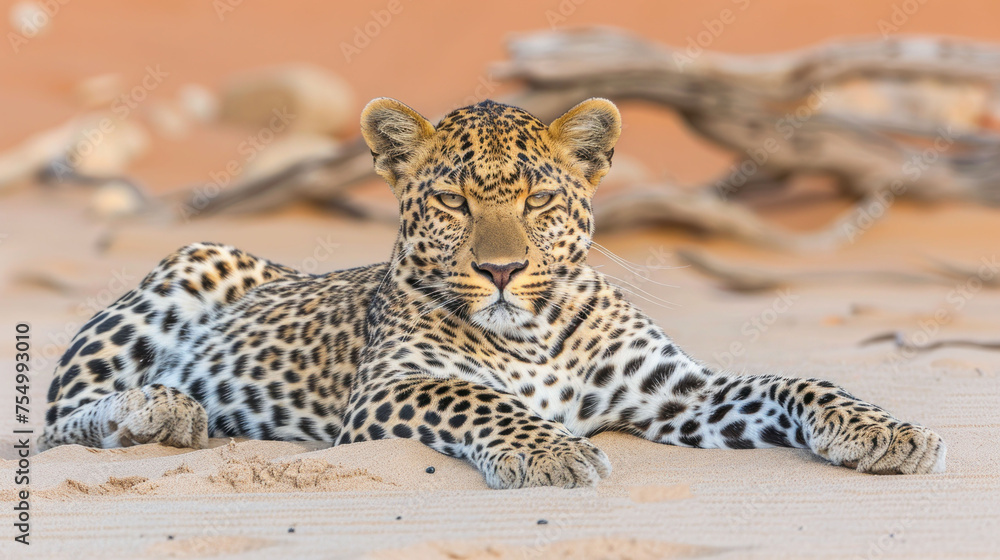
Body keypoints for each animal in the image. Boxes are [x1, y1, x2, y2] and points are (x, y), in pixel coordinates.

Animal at [39, 97, 946, 488]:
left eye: (538, 199)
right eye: (453, 202)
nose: (503, 271)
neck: (535, 333)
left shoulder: (676, 396)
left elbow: (798, 381)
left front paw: (886, 432)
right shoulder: (390, 390)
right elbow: (483, 399)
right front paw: (553, 451)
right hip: (198, 258)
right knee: (55, 424)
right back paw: (160, 410)